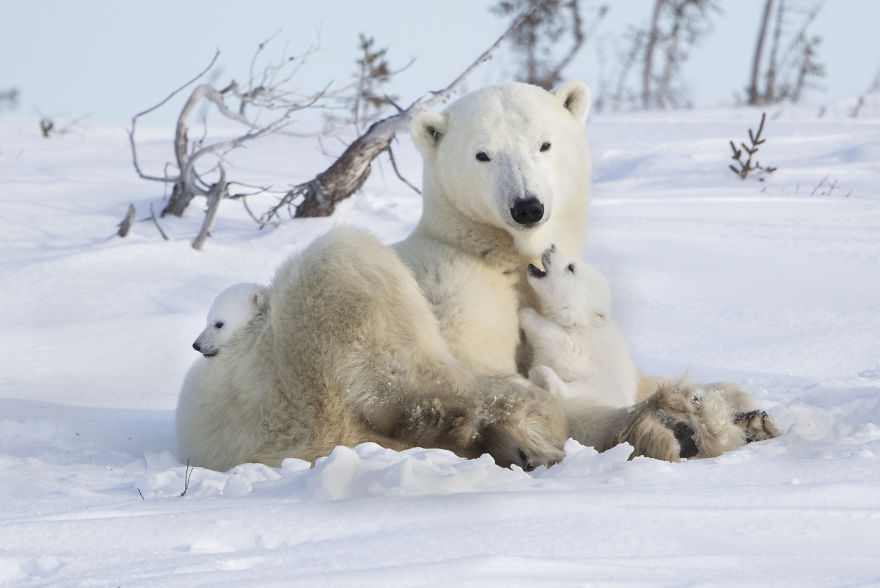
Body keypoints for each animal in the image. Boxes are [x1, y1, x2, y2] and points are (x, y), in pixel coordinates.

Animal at [518, 244, 638, 409]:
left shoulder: (580, 346)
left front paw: (525, 314)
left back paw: (542, 376)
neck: (582, 322)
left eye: (571, 267)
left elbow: (557, 341)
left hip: (604, 388)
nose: (552, 246)